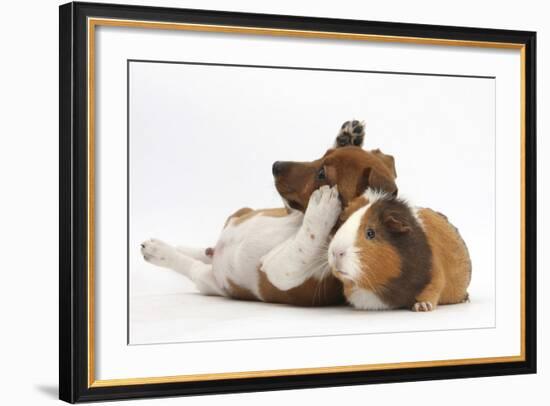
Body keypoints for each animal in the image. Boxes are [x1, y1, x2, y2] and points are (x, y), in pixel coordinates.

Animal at [141, 122, 402, 306]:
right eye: (321, 154)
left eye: (321, 174)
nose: (276, 165)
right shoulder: (291, 211)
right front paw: (347, 137)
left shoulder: (278, 269)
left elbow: (307, 240)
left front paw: (323, 208)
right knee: (197, 251)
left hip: (210, 280)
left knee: (190, 265)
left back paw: (158, 251)